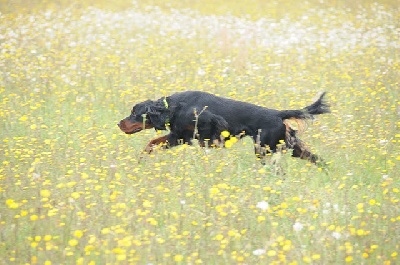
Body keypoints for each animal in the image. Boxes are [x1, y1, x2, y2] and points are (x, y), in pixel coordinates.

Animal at [117, 89, 330, 162]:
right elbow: (152, 143)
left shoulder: (208, 124)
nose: (119, 123)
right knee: (316, 159)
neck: (175, 106)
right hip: (287, 146)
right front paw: (141, 158)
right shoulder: (179, 136)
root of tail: (277, 114)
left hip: (264, 148)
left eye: (134, 113)